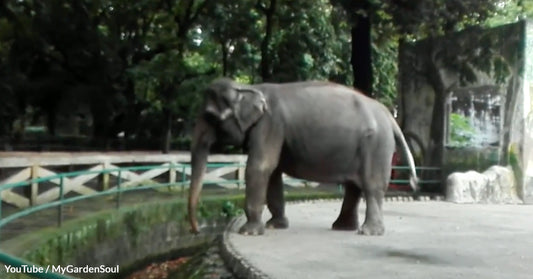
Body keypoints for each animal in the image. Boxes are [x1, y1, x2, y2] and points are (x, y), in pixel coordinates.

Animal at [189, 77, 418, 237]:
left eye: (210, 117)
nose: (197, 231)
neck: (249, 88)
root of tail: (389, 114)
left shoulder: (270, 124)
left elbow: (260, 167)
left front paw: (248, 232)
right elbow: (273, 173)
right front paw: (275, 226)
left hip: (376, 145)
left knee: (372, 186)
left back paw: (368, 232)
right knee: (353, 187)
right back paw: (342, 227)